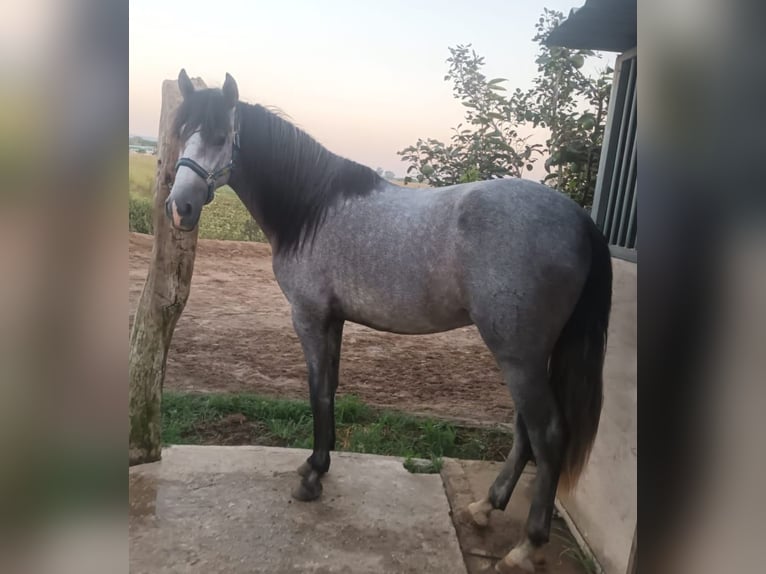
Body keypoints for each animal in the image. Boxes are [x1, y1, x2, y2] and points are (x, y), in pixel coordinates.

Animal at [166, 70, 612, 572]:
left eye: (221, 137)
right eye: (182, 132)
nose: (179, 208)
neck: (313, 209)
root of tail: (580, 220)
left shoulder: (309, 317)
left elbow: (317, 392)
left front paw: (312, 478)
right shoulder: (334, 320)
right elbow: (330, 388)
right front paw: (318, 465)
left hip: (519, 355)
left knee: (548, 434)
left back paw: (525, 547)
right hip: (526, 354)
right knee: (525, 431)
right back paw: (484, 507)